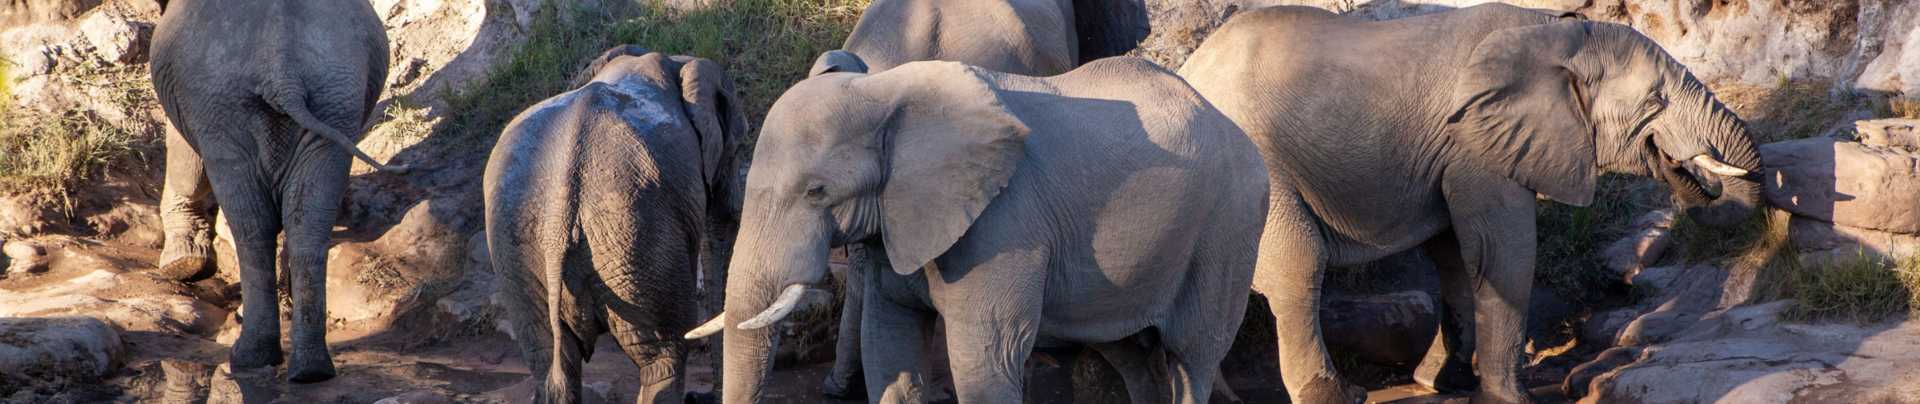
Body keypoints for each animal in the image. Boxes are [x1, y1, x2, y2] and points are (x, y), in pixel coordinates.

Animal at [149, 0, 409, 382]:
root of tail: (282, 68)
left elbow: (184, 150)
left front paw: (183, 265)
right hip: (334, 94)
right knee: (306, 219)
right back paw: (310, 370)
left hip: (219, 100)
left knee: (251, 224)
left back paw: (249, 357)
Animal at [484, 45, 748, 404]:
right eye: (741, 145)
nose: (701, 396)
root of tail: (557, 226)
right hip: (637, 234)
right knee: (664, 356)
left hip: (517, 253)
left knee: (551, 364)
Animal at [690, 58, 1270, 403]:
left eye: (816, 192)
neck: (884, 90)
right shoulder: (895, 224)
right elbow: (888, 342)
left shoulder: (1005, 223)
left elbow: (986, 358)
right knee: (1132, 353)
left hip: (1229, 228)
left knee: (1193, 353)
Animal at [1177, 4, 1764, 404]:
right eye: (1654, 101)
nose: (1675, 163)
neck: (1551, 31)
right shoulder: (1479, 148)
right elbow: (1503, 250)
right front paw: (1509, 400)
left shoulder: (1451, 154)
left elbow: (1455, 255)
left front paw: (1440, 381)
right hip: (1258, 165)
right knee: (1298, 267)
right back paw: (1338, 397)